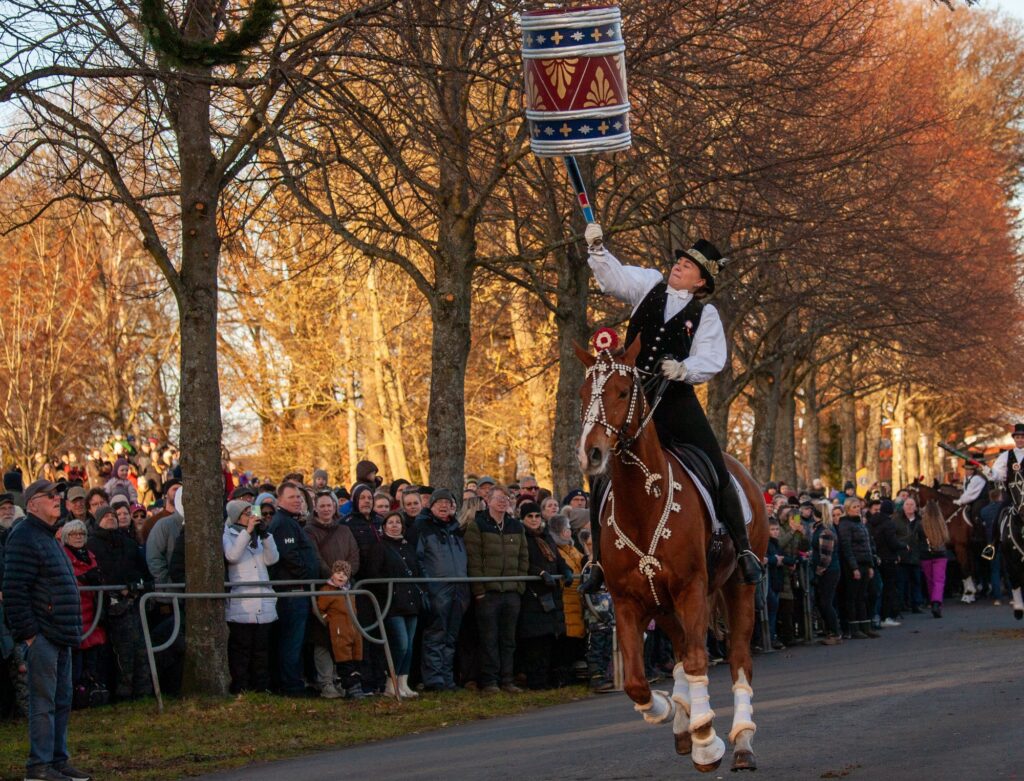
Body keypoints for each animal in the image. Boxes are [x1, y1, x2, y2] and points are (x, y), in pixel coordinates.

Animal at [577, 339, 770, 773]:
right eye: (583, 395)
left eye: (621, 392)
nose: (591, 453)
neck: (642, 505)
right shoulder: (629, 601)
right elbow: (636, 680)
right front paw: (670, 712)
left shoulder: (691, 589)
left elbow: (699, 660)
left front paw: (707, 743)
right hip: (661, 603)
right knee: (681, 650)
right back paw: (684, 718)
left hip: (738, 587)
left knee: (738, 659)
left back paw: (742, 743)